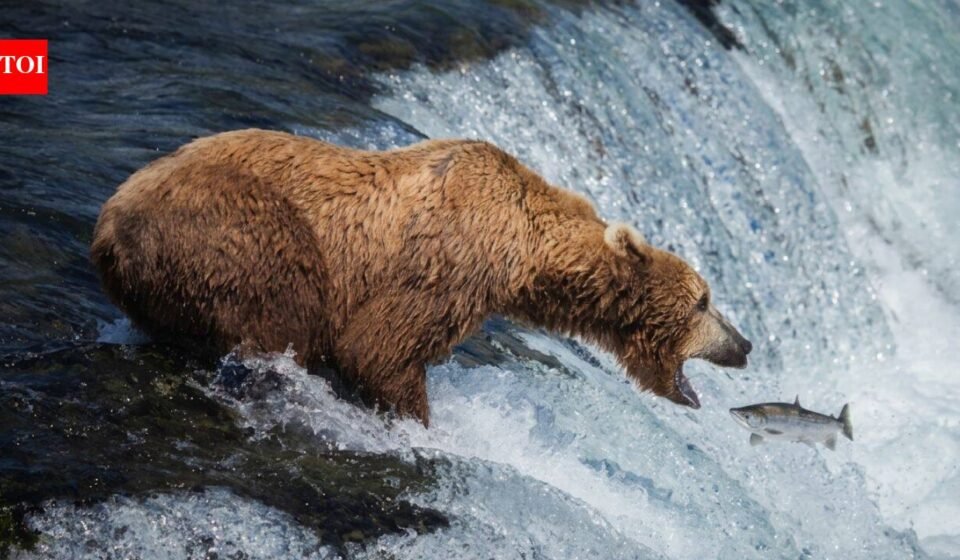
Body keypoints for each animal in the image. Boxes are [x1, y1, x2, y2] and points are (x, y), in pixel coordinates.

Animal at [91, 129, 752, 426]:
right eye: (704, 299)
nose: (744, 344)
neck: (525, 253)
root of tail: (108, 223)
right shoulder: (448, 264)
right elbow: (379, 347)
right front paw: (420, 421)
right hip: (233, 229)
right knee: (283, 308)